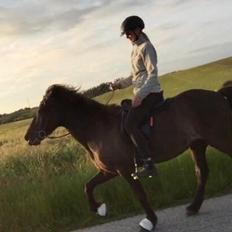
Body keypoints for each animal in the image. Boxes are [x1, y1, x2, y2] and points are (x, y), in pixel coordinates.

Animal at [24, 82, 232, 231]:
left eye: (41, 109)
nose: (28, 137)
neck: (98, 127)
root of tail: (219, 95)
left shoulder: (126, 170)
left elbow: (140, 195)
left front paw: (150, 221)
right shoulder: (109, 171)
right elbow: (88, 186)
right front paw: (99, 208)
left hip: (220, 139)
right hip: (198, 145)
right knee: (202, 173)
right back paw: (193, 207)